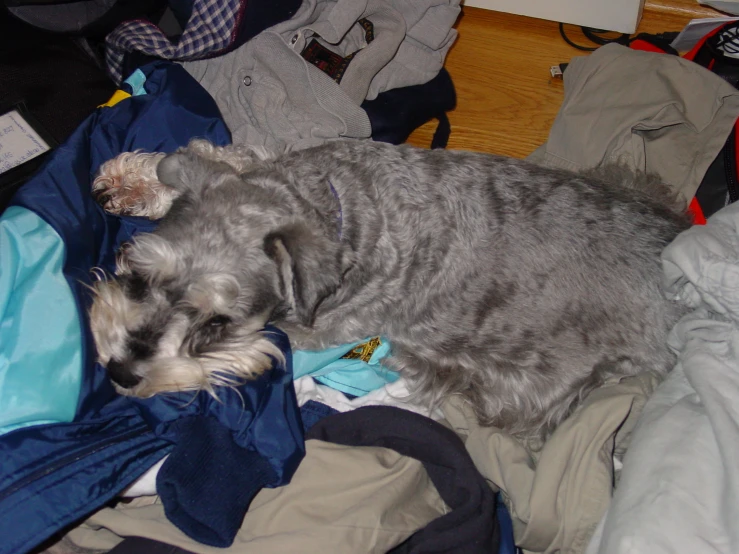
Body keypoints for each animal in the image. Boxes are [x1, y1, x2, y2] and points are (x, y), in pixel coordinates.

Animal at [89, 138, 692, 436]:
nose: (120, 372)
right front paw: (137, 179)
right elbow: (232, 151)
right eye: (139, 274)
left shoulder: (318, 330)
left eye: (218, 322)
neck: (339, 209)